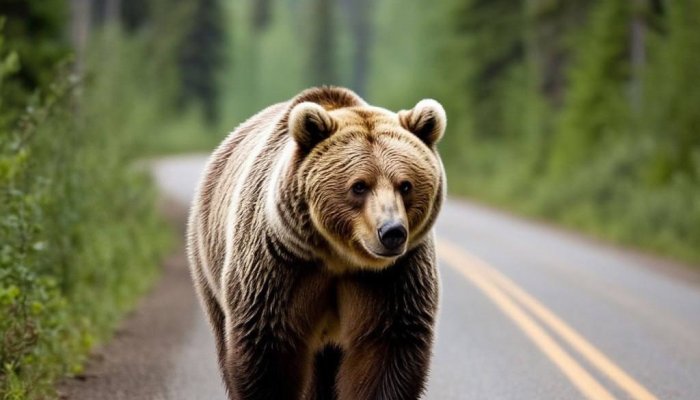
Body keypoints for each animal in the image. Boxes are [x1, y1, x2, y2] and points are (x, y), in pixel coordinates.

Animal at [186, 86, 446, 400]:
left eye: (405, 185)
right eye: (359, 186)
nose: (392, 232)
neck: (339, 256)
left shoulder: (393, 277)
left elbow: (386, 347)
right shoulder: (280, 265)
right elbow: (268, 348)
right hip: (209, 263)